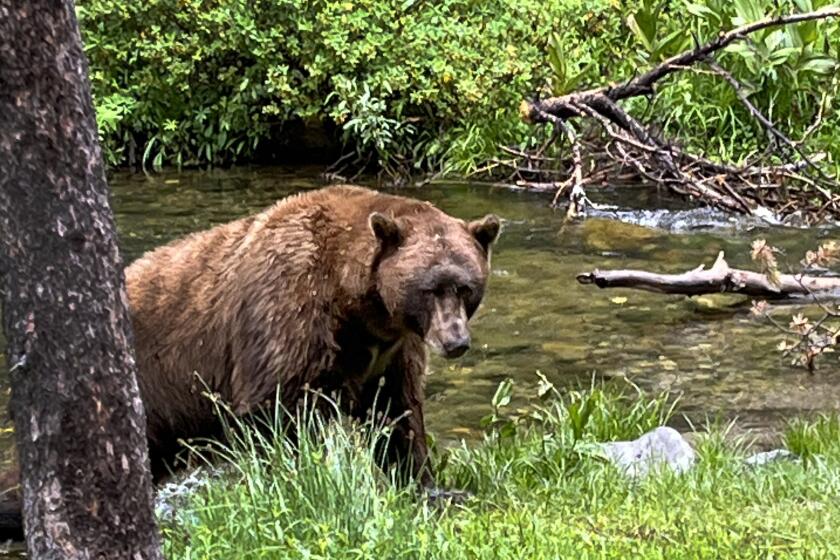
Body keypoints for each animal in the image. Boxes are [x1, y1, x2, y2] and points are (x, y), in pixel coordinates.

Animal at [0, 184, 496, 540]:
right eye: (431, 288)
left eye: (466, 286)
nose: (455, 341)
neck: (358, 304)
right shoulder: (288, 313)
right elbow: (275, 411)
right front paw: (300, 481)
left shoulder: (392, 351)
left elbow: (398, 414)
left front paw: (427, 486)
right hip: (140, 381)